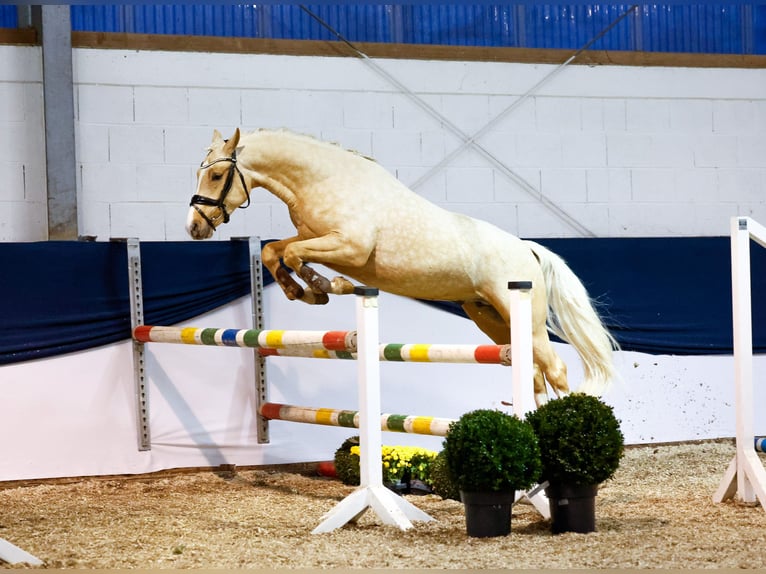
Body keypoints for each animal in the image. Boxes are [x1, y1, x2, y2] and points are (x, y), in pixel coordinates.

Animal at [189, 128, 620, 408]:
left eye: (216, 174)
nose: (194, 228)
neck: (323, 181)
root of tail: (527, 249)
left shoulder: (349, 247)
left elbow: (295, 256)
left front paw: (324, 287)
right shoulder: (314, 237)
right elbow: (274, 252)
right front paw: (301, 291)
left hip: (524, 317)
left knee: (556, 368)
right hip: (491, 318)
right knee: (532, 371)